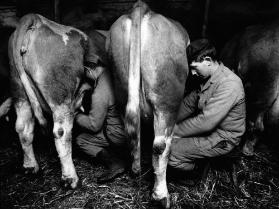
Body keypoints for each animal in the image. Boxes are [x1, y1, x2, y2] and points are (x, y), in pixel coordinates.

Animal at [8, 13, 106, 189]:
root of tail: (37, 19)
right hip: (60, 98)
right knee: (61, 132)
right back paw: (70, 178)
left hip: (19, 91)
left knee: (22, 128)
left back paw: (30, 167)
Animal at [107, 1, 190, 207]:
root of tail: (141, 8)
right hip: (166, 101)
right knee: (160, 145)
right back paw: (161, 195)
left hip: (122, 88)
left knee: (132, 129)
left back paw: (136, 170)